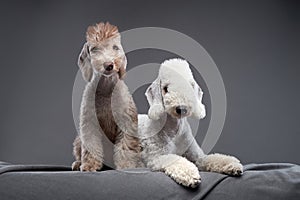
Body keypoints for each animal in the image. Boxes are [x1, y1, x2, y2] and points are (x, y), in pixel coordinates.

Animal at [139, 57, 244, 188]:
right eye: (166, 88)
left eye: (189, 86)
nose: (181, 108)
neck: (175, 130)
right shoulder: (157, 157)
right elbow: (178, 161)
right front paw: (190, 176)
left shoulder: (197, 156)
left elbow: (210, 158)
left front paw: (233, 164)